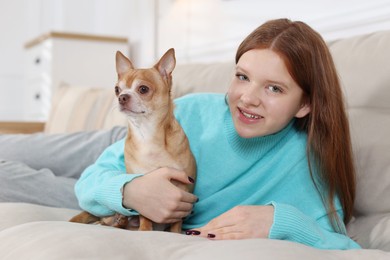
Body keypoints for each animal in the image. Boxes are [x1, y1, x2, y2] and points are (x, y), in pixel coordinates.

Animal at [69, 48, 195, 234]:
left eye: (143, 89)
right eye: (117, 89)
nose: (122, 97)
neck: (147, 134)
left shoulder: (182, 188)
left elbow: (176, 221)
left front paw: (175, 234)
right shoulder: (145, 188)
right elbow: (145, 214)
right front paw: (145, 230)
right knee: (106, 220)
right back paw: (118, 220)